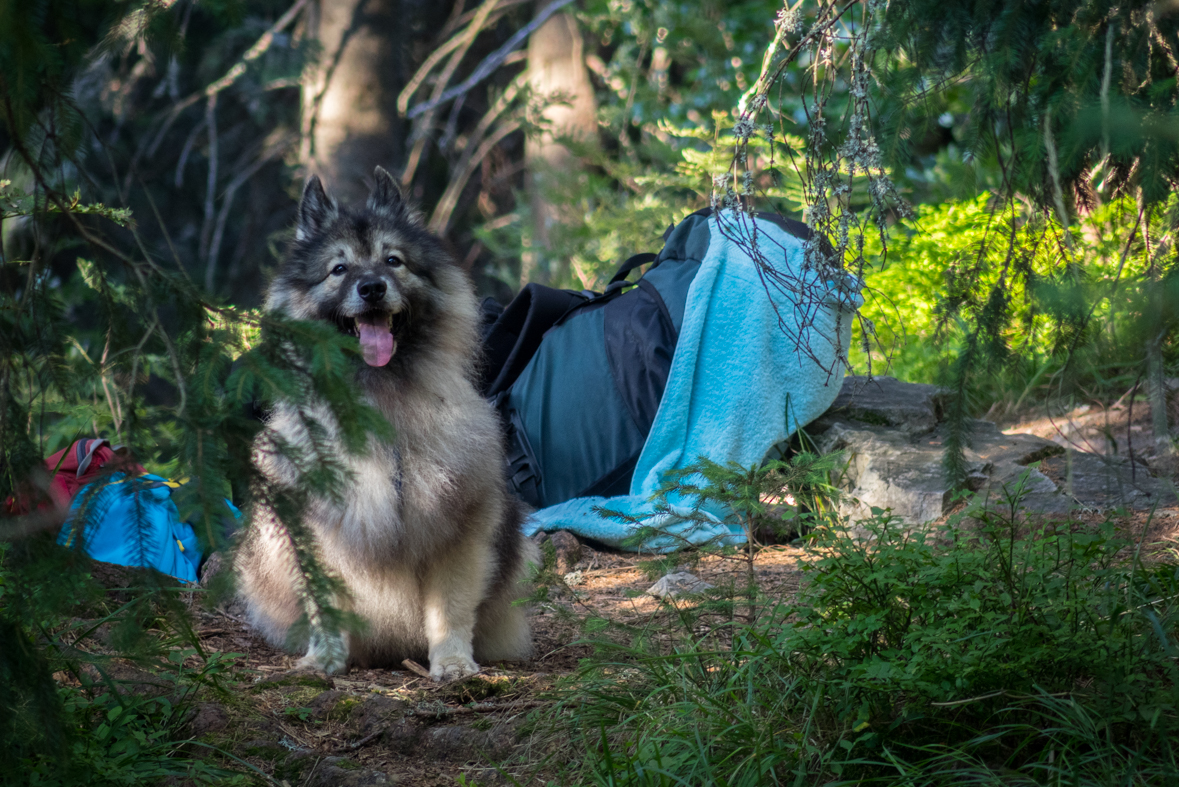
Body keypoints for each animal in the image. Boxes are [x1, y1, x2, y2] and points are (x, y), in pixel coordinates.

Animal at [233, 167, 535, 683]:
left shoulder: (458, 530)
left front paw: (453, 662)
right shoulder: (320, 532)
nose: (371, 287)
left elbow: (450, 609)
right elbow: (325, 605)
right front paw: (322, 660)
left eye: (393, 261)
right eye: (338, 269)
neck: (381, 397)